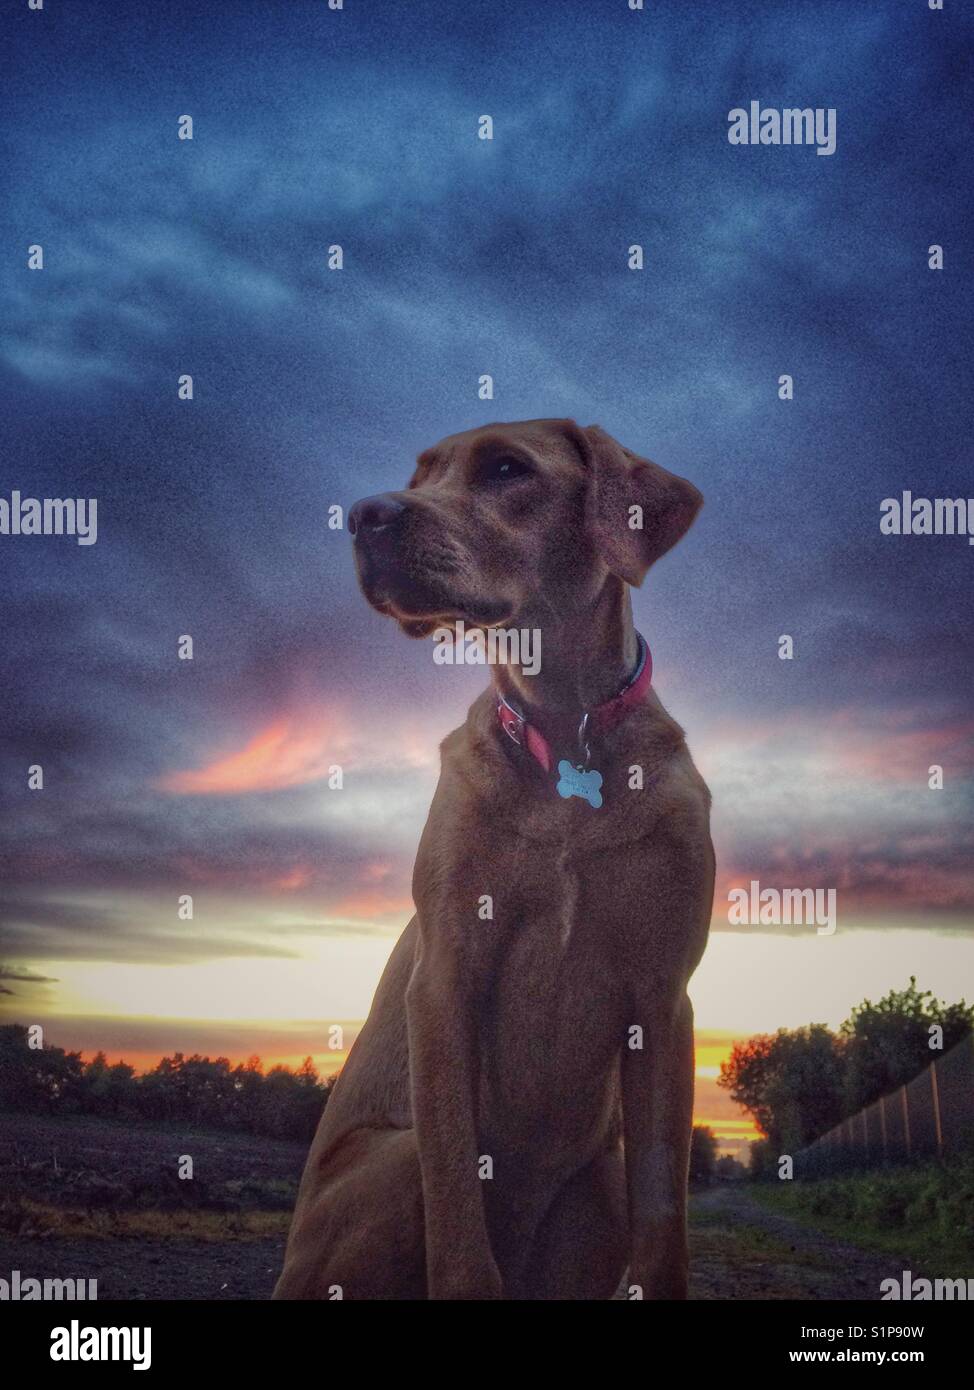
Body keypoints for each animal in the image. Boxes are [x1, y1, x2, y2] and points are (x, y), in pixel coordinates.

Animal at [273, 417, 716, 1295]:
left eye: (507, 469)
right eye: (421, 473)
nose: (365, 516)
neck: (568, 730)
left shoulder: (663, 998)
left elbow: (665, 1227)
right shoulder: (446, 974)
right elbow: (457, 1225)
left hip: (598, 1181)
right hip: (392, 1162)